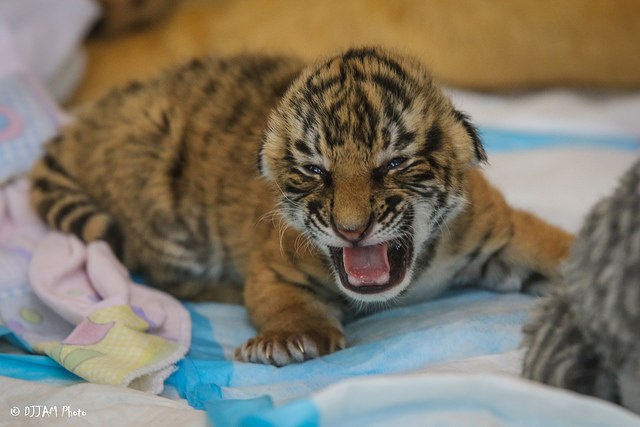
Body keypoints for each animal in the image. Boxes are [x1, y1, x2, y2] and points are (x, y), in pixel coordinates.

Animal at [29, 46, 573, 366]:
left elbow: (557, 250)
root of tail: (91, 116)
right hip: (161, 212)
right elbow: (283, 303)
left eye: (395, 163)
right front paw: (289, 340)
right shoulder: (274, 264)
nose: (351, 230)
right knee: (159, 273)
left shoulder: (502, 232)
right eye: (314, 170)